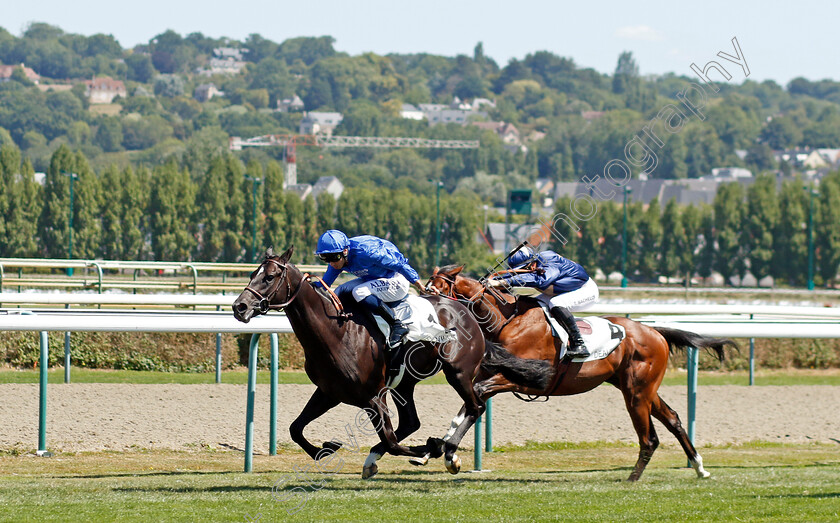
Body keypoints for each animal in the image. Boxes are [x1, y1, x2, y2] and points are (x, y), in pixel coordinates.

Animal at [231, 249, 552, 478]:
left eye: (270, 276)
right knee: (412, 421)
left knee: (474, 407)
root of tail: (465, 310)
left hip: (458, 372)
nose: (239, 307)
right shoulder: (329, 392)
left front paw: (430, 447)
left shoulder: (373, 395)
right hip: (404, 383)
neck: (335, 331)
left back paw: (448, 452)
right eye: (253, 274)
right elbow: (295, 429)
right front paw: (326, 450)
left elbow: (392, 441)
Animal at [426, 266, 736, 484]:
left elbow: (476, 400)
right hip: (641, 388)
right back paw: (700, 468)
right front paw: (434, 450)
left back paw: (633, 478)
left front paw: (449, 453)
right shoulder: (492, 376)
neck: (507, 321)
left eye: (437, 291)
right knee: (673, 419)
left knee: (649, 438)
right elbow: (468, 406)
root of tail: (654, 330)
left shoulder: (530, 380)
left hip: (637, 393)